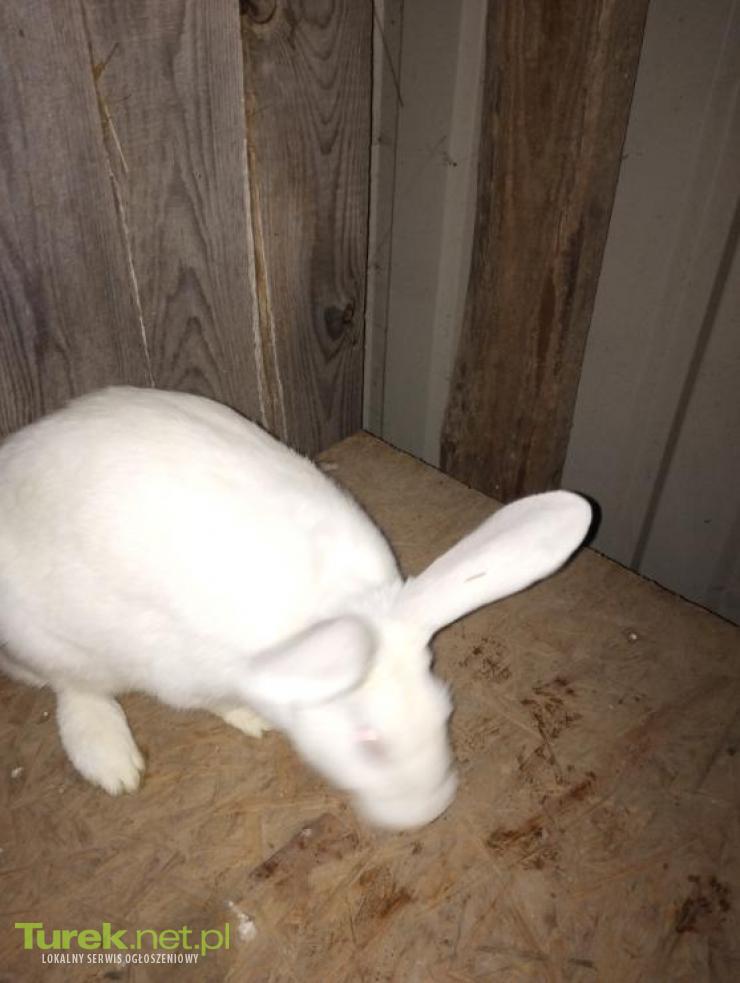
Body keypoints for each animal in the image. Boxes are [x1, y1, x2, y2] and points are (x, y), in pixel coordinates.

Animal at [0, 386, 591, 829]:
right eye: (369, 744)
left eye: (443, 713)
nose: (426, 813)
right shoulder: (182, 672)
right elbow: (214, 700)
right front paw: (250, 718)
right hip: (57, 642)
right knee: (73, 689)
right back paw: (112, 761)